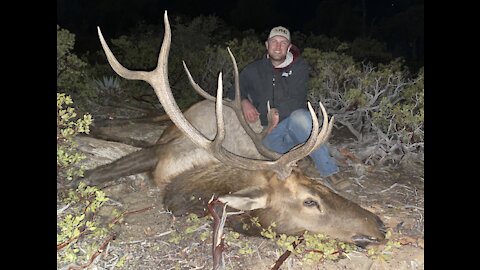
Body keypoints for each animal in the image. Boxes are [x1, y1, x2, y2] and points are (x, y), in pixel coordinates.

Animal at [94, 10, 386, 247]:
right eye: (310, 201)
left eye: (322, 186)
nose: (380, 225)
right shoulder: (162, 151)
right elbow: (98, 174)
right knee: (140, 121)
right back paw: (100, 125)